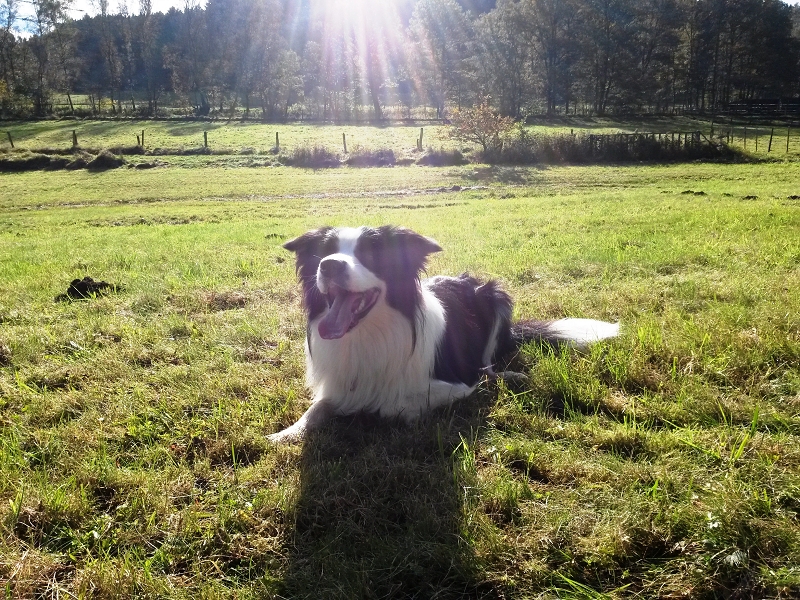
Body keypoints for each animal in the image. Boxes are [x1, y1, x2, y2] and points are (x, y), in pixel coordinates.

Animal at [268, 225, 619, 443]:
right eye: (323, 253)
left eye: (368, 255)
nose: (328, 265)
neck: (368, 334)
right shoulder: (337, 385)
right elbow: (318, 407)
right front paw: (285, 433)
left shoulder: (458, 385)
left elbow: (394, 405)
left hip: (496, 296)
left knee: (491, 368)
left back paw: (510, 375)